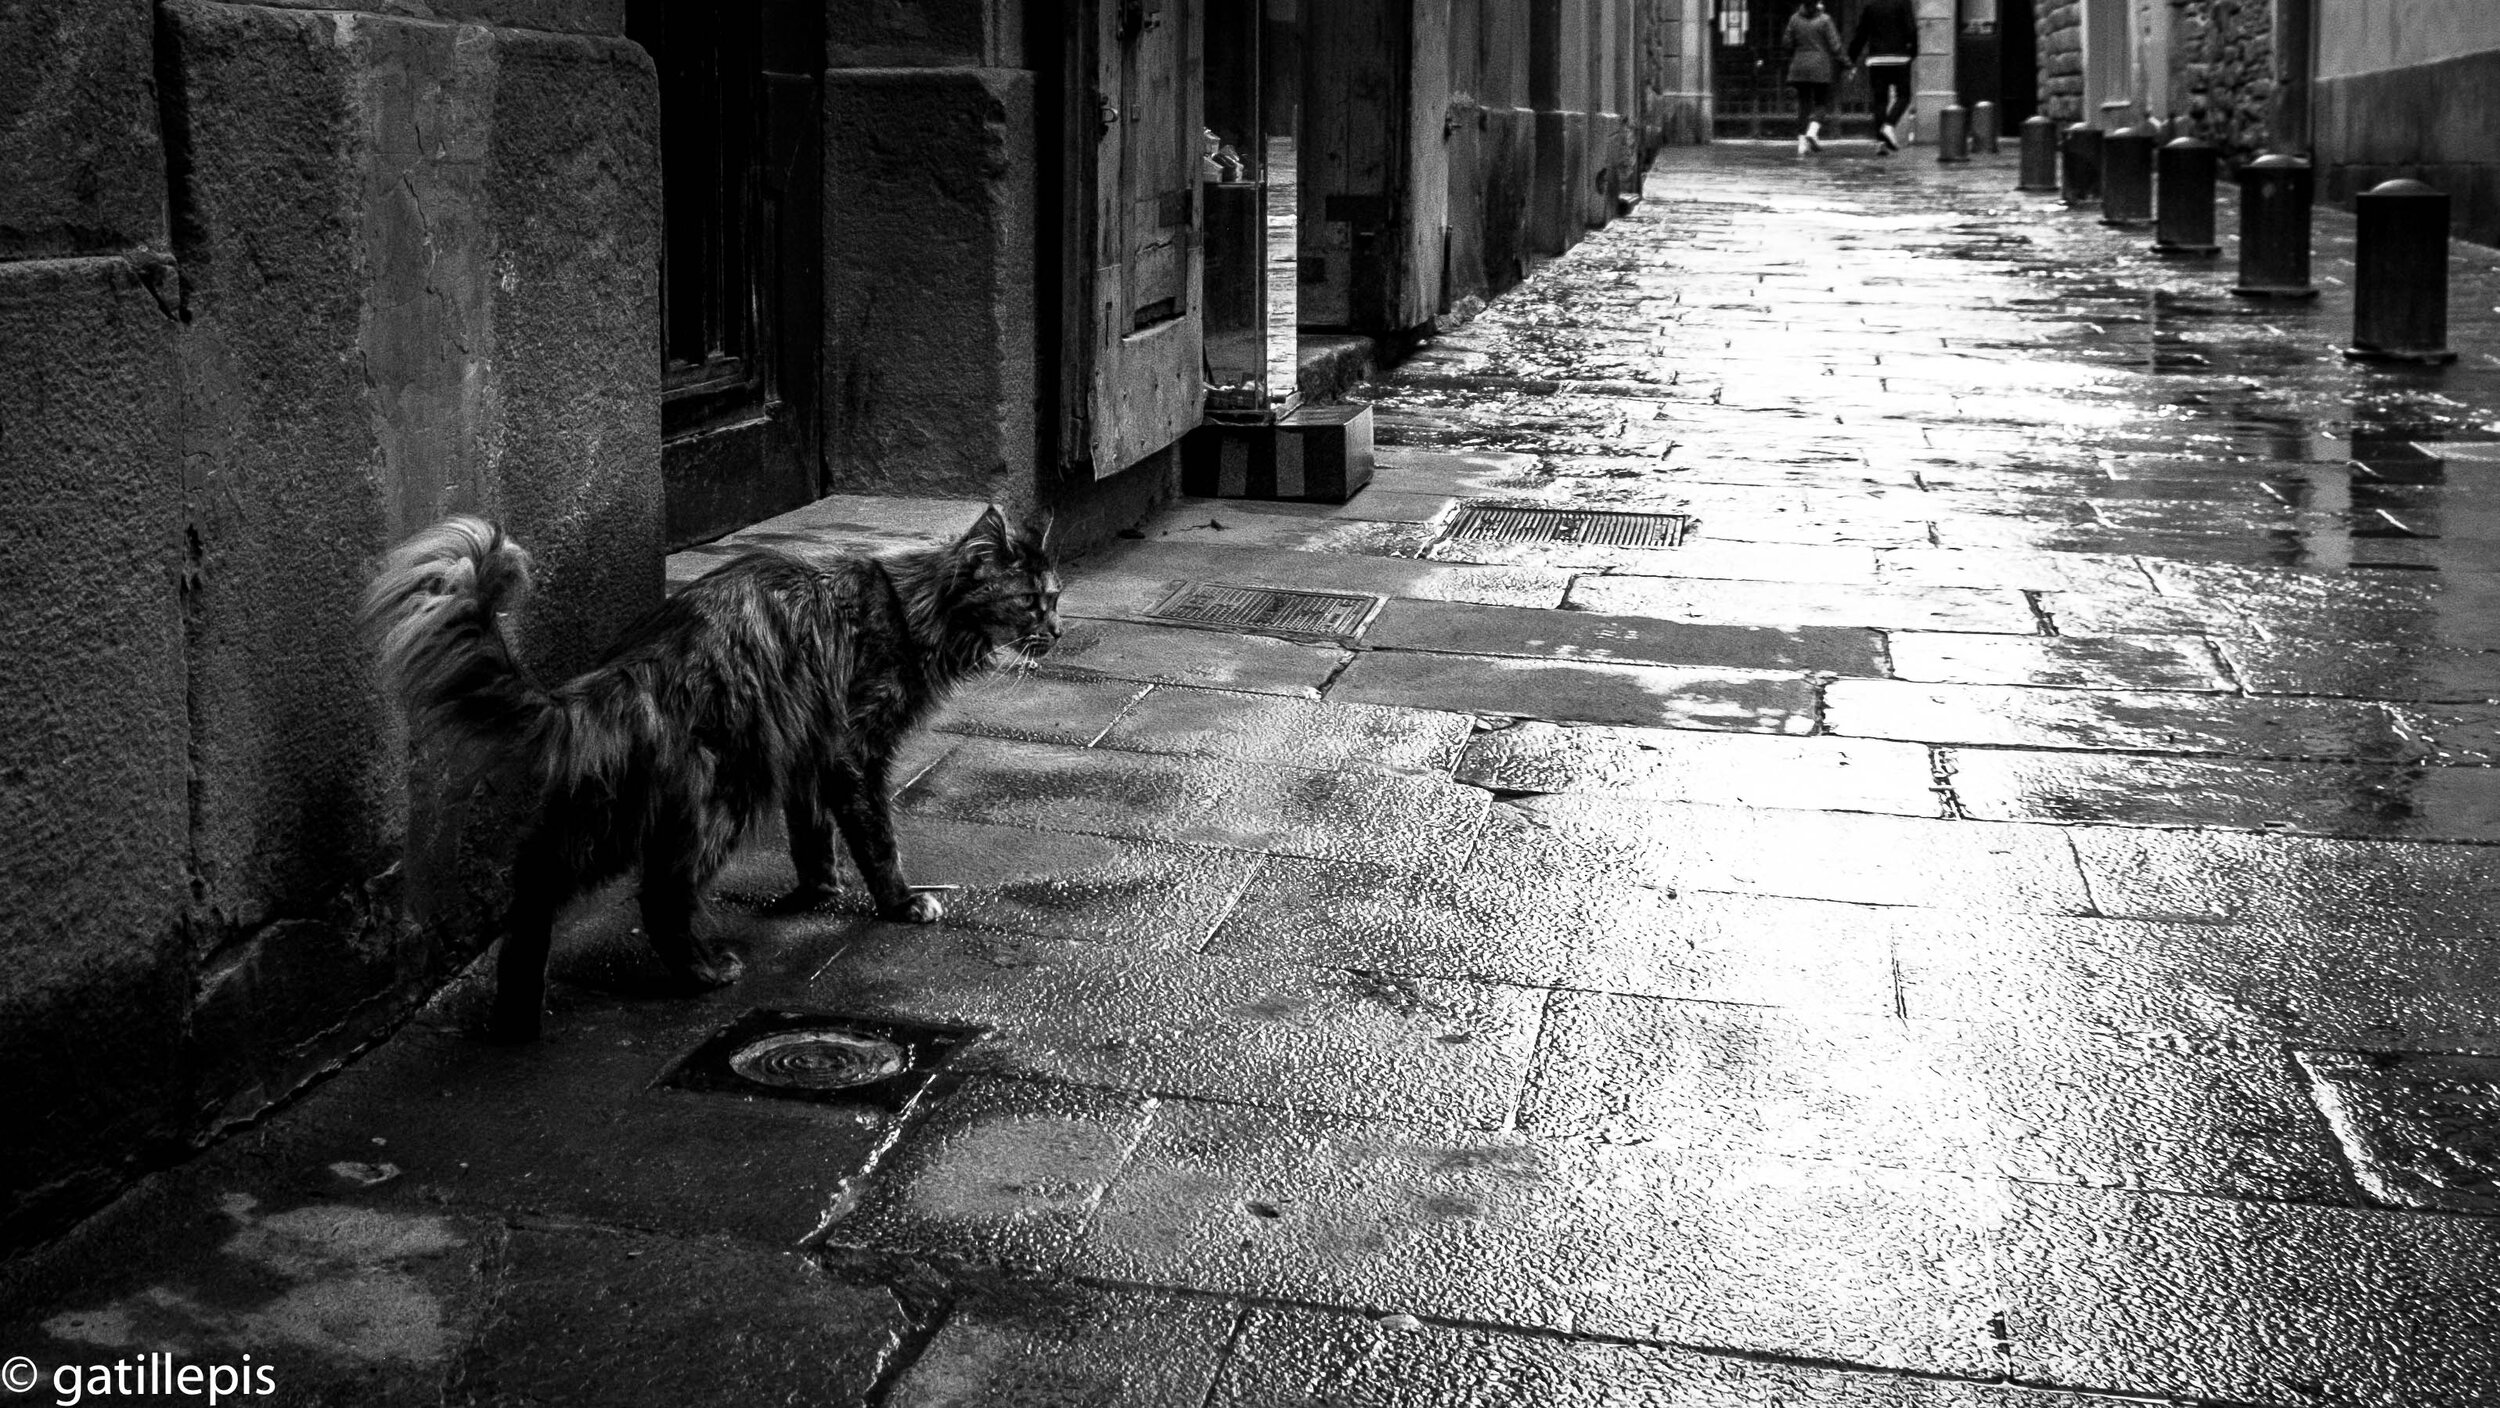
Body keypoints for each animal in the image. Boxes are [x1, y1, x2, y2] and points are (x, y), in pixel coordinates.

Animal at [362, 504, 1061, 1040]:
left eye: (1055, 598)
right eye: (1031, 600)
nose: (1056, 631)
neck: (915, 604)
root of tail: (637, 665)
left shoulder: (808, 752)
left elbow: (813, 836)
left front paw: (817, 892)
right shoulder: (853, 749)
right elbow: (876, 839)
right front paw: (900, 903)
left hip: (611, 813)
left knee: (537, 881)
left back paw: (517, 1017)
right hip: (729, 791)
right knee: (662, 894)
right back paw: (703, 974)